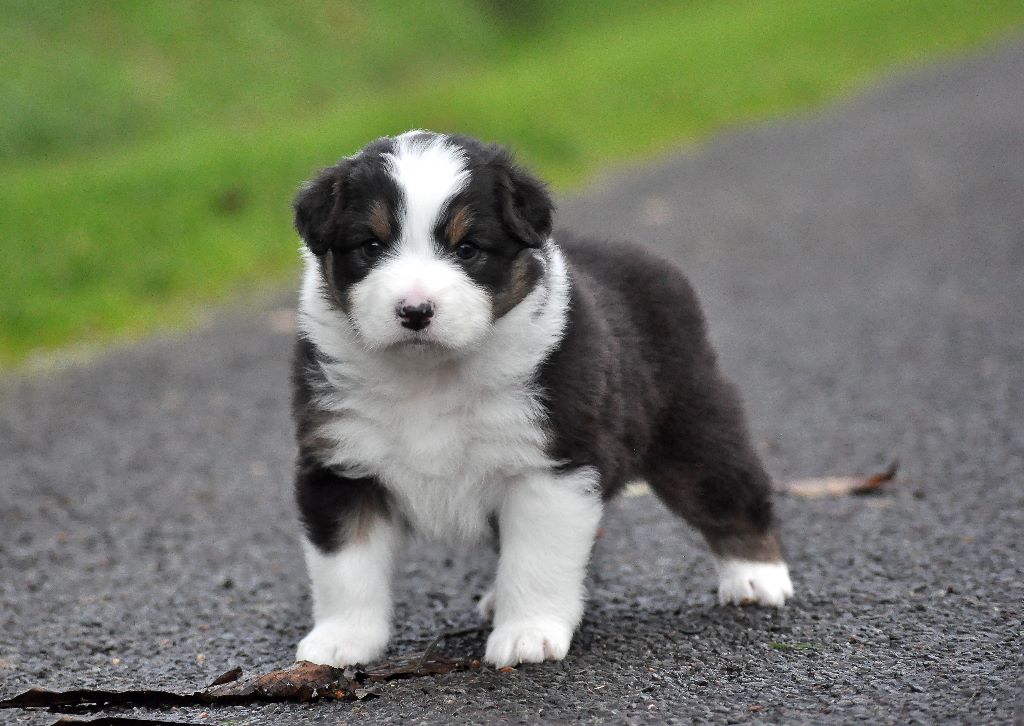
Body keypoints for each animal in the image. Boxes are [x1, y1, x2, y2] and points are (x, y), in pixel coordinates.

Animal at [288, 132, 790, 667]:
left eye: (468, 248)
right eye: (371, 246)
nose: (415, 311)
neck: (430, 375)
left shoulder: (551, 465)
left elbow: (536, 560)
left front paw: (527, 635)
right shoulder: (340, 464)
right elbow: (345, 567)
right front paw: (340, 642)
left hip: (691, 425)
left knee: (730, 490)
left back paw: (757, 578)